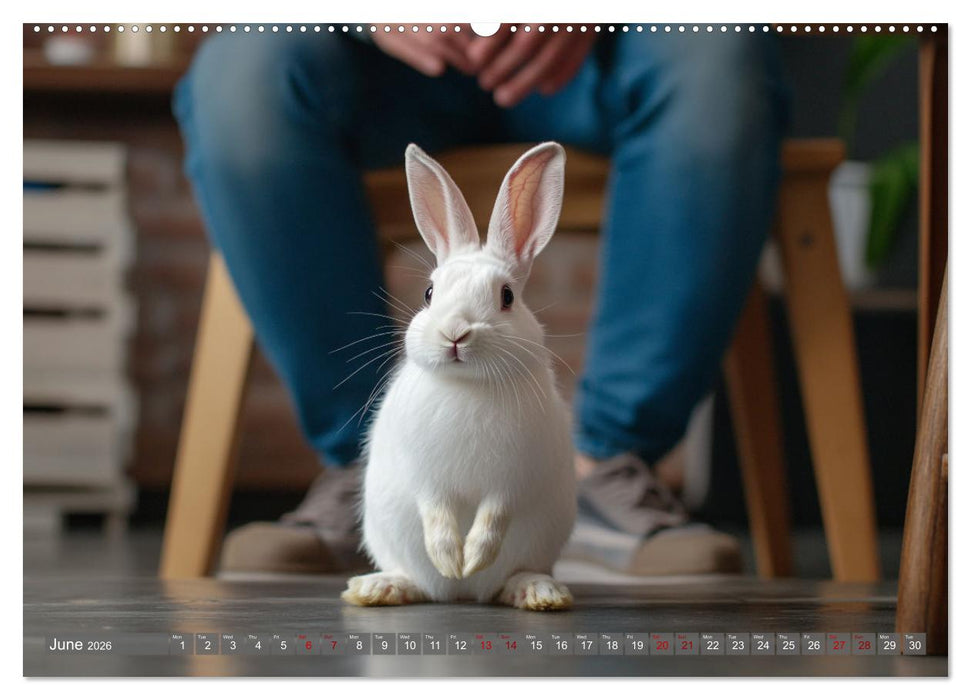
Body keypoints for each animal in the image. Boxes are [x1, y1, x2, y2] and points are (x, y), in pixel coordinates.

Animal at [341, 142, 576, 611]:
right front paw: (451, 558)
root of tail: (462, 596)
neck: (469, 385)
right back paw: (384, 587)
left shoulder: (513, 477)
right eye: (429, 293)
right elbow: (436, 512)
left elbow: (494, 517)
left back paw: (536, 592)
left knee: (513, 575)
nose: (455, 333)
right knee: (416, 578)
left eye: (507, 296)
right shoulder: (425, 476)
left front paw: (474, 558)